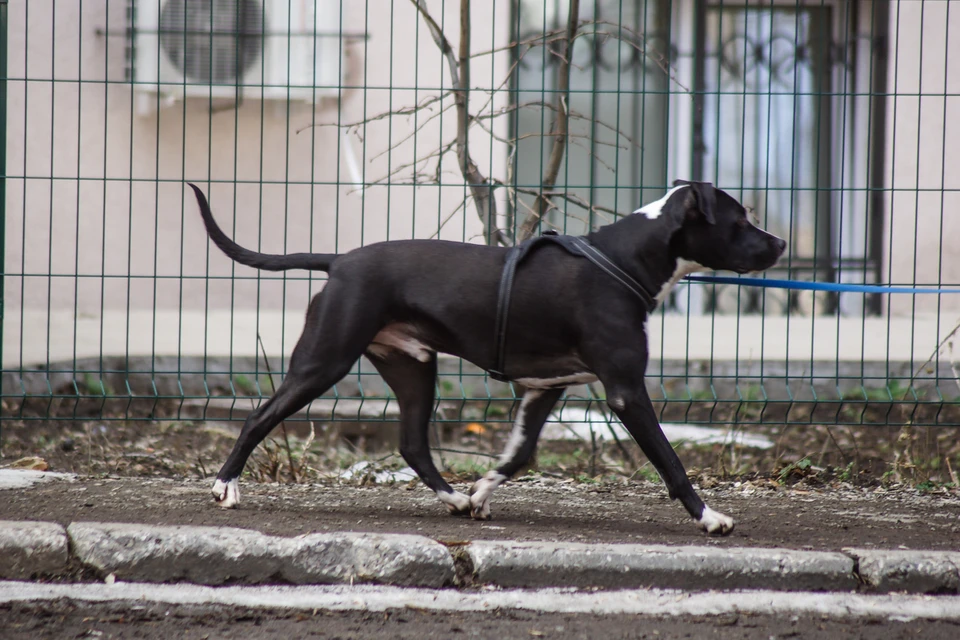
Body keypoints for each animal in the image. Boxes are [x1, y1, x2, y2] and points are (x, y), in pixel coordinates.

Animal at [189, 180, 788, 536]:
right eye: (739, 220)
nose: (781, 244)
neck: (623, 261)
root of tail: (338, 260)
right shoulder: (625, 391)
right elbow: (670, 461)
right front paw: (709, 517)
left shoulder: (545, 389)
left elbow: (518, 456)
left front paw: (478, 493)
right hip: (324, 361)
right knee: (259, 416)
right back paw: (225, 486)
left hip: (414, 368)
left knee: (412, 445)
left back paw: (454, 500)